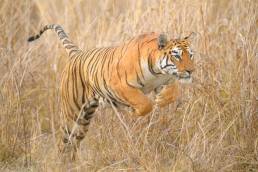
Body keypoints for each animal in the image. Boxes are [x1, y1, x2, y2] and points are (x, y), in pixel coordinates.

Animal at [27, 24, 194, 159]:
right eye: (177, 55)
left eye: (191, 55)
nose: (191, 70)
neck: (158, 72)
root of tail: (77, 54)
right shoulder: (119, 85)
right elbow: (144, 102)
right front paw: (134, 113)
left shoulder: (166, 80)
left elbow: (173, 93)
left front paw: (161, 100)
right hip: (72, 114)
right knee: (64, 143)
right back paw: (61, 162)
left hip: (84, 120)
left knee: (75, 143)